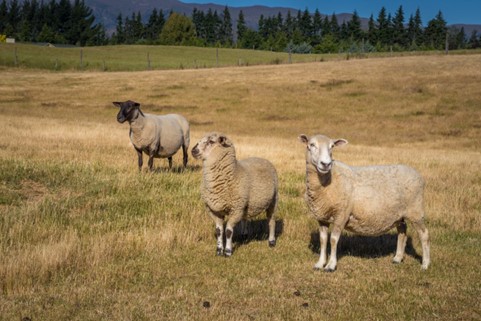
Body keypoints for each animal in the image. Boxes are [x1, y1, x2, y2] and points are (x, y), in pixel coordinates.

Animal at [298, 132, 430, 270]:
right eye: (311, 145)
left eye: (332, 146)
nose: (326, 164)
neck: (329, 180)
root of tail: (418, 174)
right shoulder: (322, 217)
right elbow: (323, 240)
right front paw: (320, 263)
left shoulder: (342, 214)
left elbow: (333, 239)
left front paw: (331, 265)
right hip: (398, 213)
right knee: (402, 230)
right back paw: (398, 258)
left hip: (416, 210)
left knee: (424, 234)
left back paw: (425, 264)